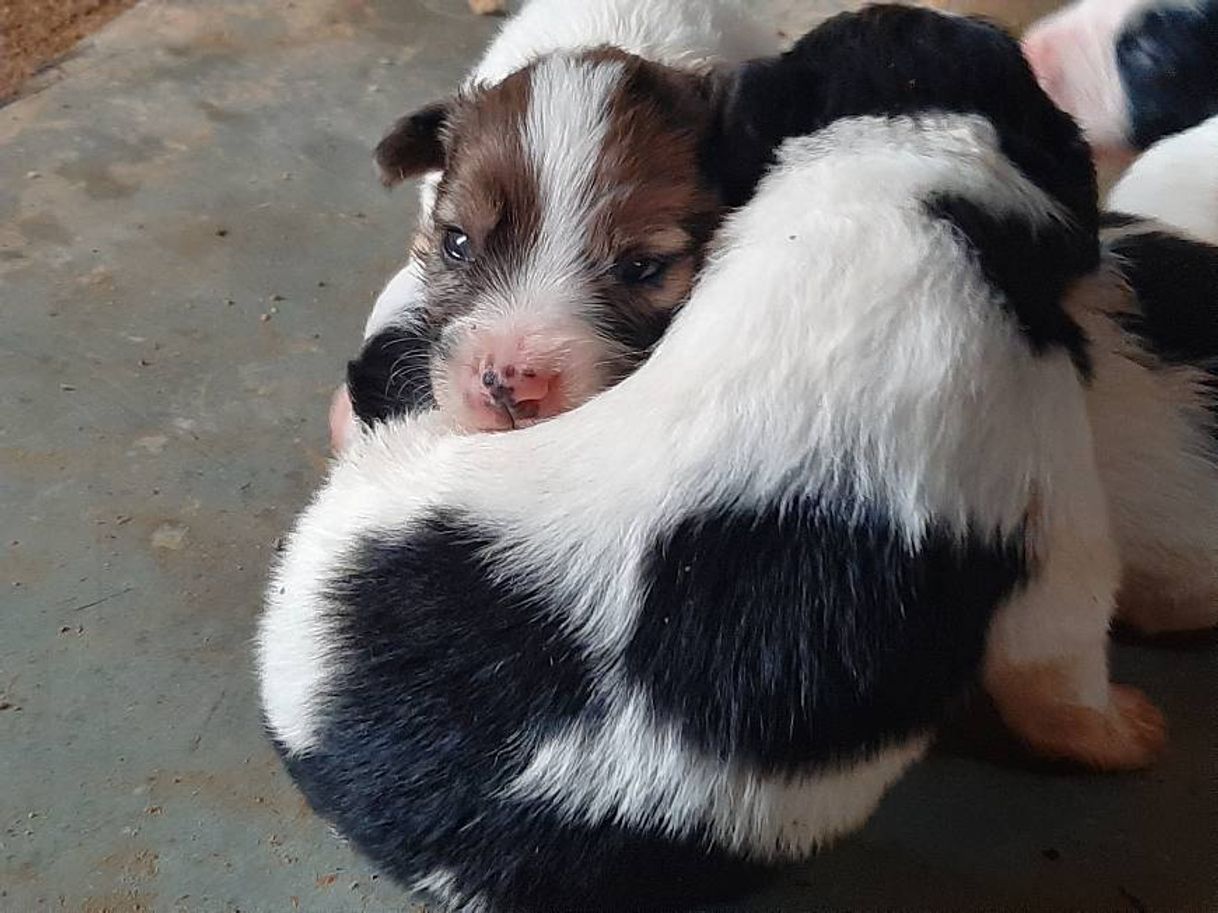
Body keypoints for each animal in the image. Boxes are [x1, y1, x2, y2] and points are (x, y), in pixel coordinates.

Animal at [264, 8, 1159, 913]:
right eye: (455, 244)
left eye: (642, 268)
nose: (506, 383)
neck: (895, 173)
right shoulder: (1057, 498)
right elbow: (1061, 654)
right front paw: (1122, 730)